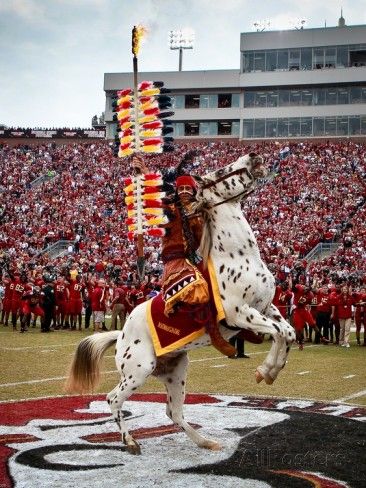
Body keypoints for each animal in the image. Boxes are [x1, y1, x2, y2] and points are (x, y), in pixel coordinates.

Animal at [65, 152, 294, 454]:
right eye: (219, 171)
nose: (253, 156)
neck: (238, 256)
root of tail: (122, 332)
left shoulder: (267, 307)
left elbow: (287, 333)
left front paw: (270, 371)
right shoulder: (240, 314)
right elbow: (279, 333)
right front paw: (265, 371)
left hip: (176, 370)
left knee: (173, 412)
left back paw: (206, 441)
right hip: (138, 370)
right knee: (113, 399)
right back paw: (130, 441)